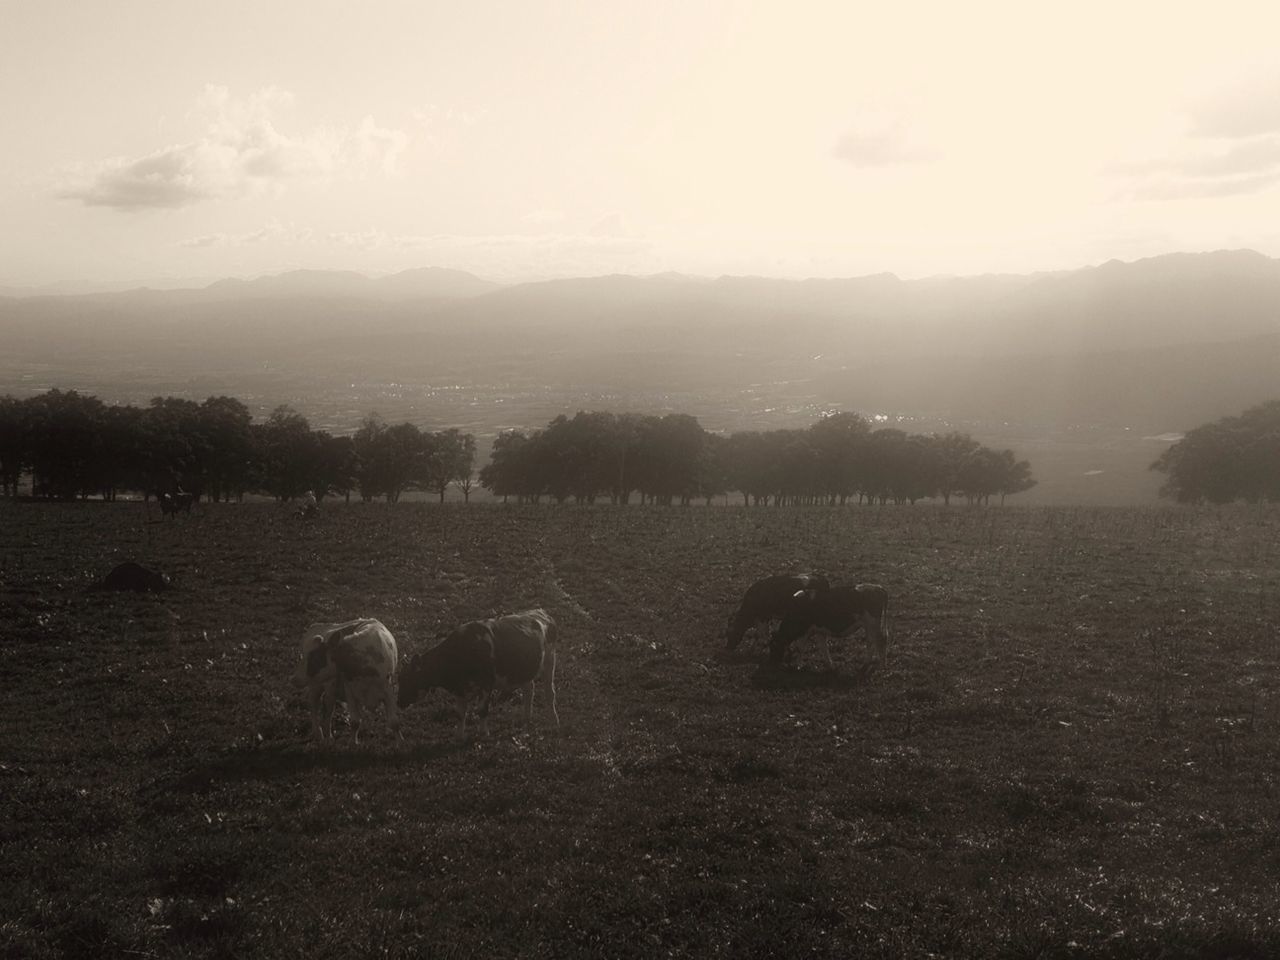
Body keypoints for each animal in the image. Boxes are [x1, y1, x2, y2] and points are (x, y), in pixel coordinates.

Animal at [291, 619, 399, 747]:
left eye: (316, 658)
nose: (293, 679)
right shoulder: (350, 692)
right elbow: (355, 721)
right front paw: (352, 743)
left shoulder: (388, 690)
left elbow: (394, 722)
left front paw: (400, 742)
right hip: (316, 685)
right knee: (314, 705)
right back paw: (319, 734)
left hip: (329, 689)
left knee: (328, 709)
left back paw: (329, 737)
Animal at [396, 609, 558, 737]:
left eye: (408, 679)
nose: (398, 702)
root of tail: (540, 613)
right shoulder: (459, 689)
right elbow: (460, 713)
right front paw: (459, 736)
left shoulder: (486, 683)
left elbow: (482, 709)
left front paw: (483, 732)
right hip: (524, 671)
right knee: (529, 690)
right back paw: (526, 719)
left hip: (550, 661)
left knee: (549, 694)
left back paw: (553, 722)